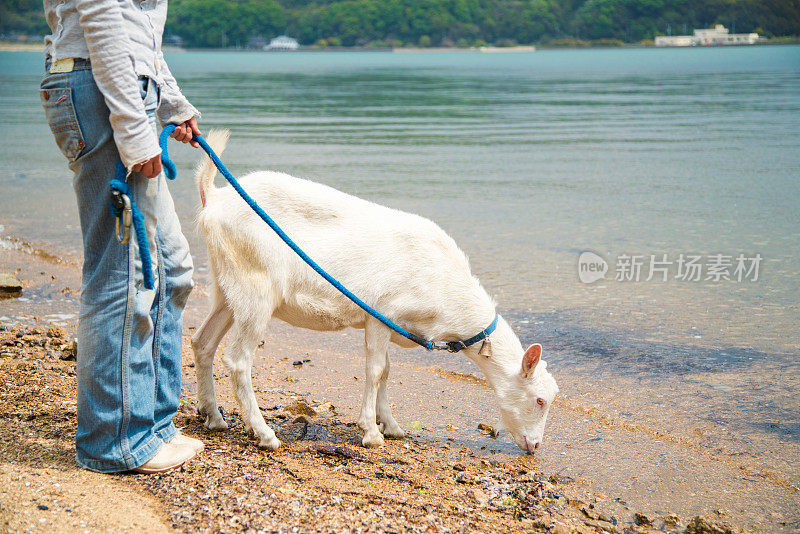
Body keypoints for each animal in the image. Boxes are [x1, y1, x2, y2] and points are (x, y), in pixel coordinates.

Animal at [191, 132, 560, 454]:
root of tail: (214, 198)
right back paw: (265, 434)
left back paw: (214, 416)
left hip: (226, 285)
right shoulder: (382, 314)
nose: (535, 446)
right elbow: (375, 370)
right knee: (238, 360)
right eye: (540, 400)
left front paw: (392, 425)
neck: (447, 289)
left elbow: (387, 370)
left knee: (203, 341)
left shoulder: (392, 323)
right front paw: (371, 433)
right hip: (256, 287)